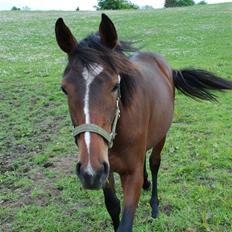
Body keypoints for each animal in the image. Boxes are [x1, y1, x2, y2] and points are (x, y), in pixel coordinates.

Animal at [54, 13, 232, 231]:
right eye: (64, 89)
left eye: (115, 85)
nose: (89, 171)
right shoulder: (105, 170)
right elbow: (113, 206)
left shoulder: (130, 175)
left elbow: (126, 220)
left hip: (162, 135)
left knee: (154, 163)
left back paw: (154, 205)